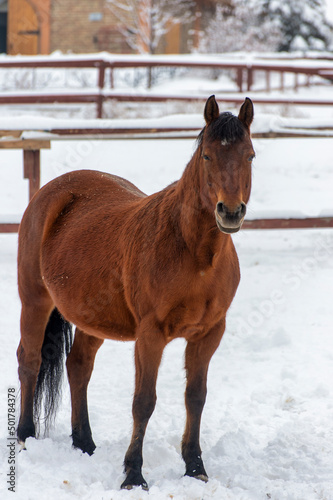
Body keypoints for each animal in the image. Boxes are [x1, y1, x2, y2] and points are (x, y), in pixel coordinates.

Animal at [16, 95, 254, 490]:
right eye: (207, 156)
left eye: (250, 155)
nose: (230, 212)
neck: (193, 253)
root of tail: (50, 193)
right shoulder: (150, 334)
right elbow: (144, 401)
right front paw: (133, 474)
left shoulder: (208, 334)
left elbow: (196, 397)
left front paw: (195, 467)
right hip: (34, 301)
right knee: (30, 361)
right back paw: (24, 437)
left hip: (92, 319)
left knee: (78, 365)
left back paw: (84, 443)